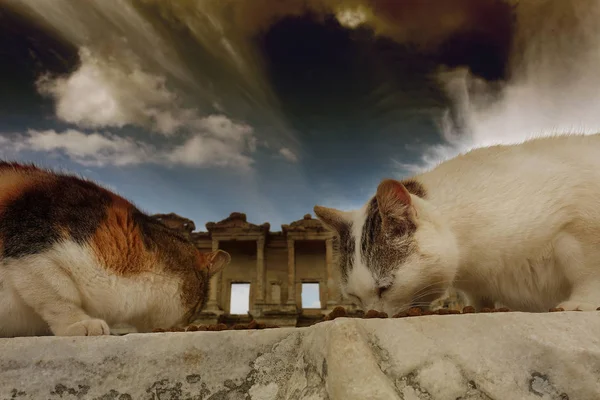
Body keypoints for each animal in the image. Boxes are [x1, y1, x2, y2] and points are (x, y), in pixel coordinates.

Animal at [312, 134, 600, 316]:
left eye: (385, 288)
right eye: (353, 296)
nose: (373, 314)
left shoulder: (583, 224)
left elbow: (588, 272)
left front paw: (581, 302)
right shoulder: (477, 285)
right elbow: (480, 299)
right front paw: (480, 309)